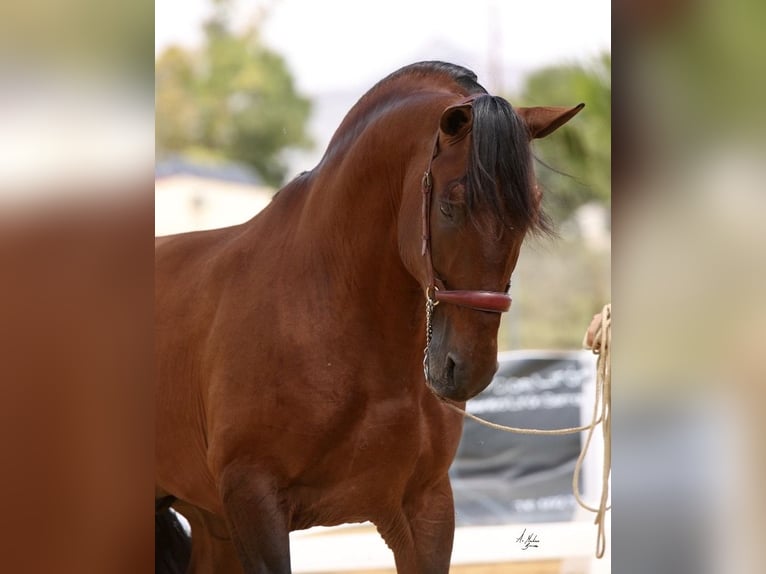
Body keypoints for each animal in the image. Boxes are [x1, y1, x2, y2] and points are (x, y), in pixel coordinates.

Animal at [159, 60, 584, 572]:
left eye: (531, 208)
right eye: (450, 206)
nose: (467, 369)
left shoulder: (425, 507)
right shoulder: (253, 501)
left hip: (209, 521)